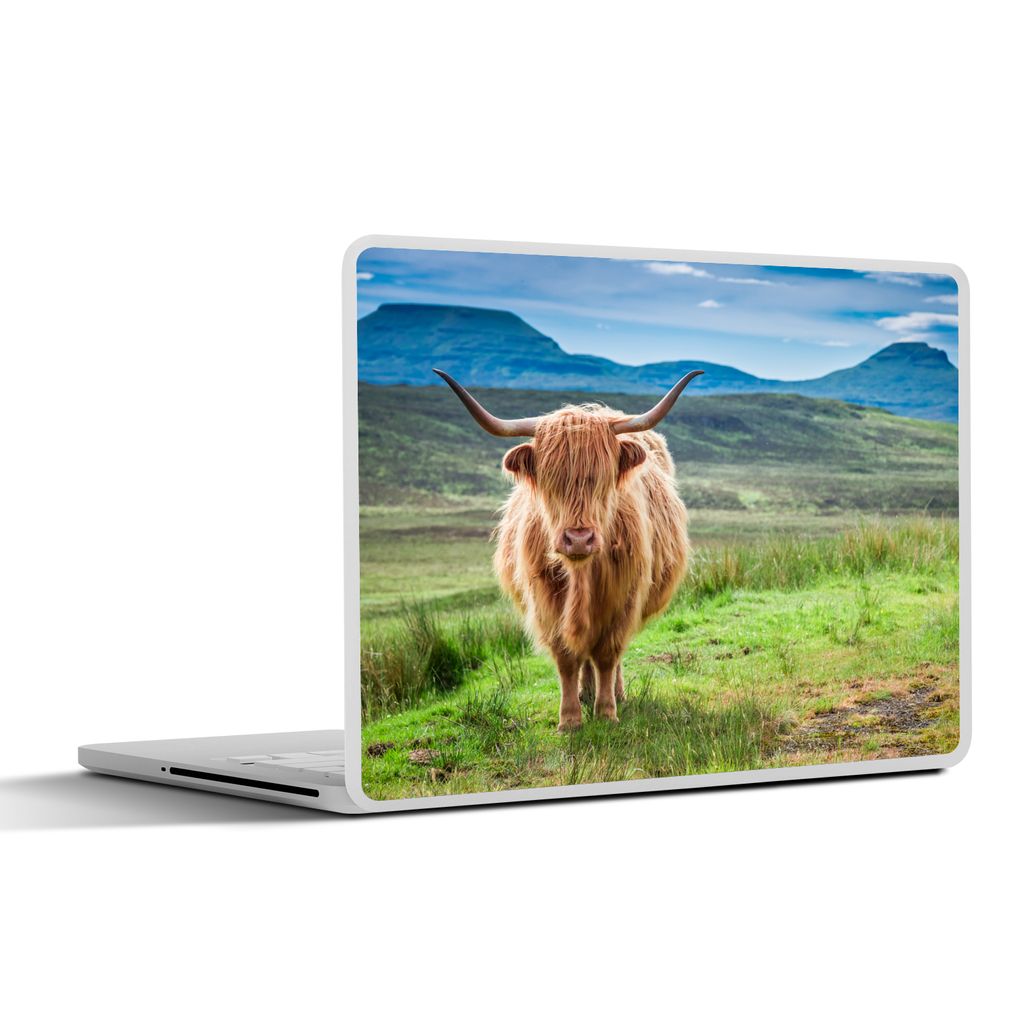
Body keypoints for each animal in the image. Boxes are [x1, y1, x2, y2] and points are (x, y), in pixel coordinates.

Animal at [434, 368, 701, 731]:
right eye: (550, 480)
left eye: (602, 478)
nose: (578, 539)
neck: (581, 575)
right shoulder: (546, 601)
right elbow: (566, 657)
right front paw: (570, 719)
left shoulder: (623, 598)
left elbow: (608, 654)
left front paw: (606, 712)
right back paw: (586, 692)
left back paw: (615, 694)